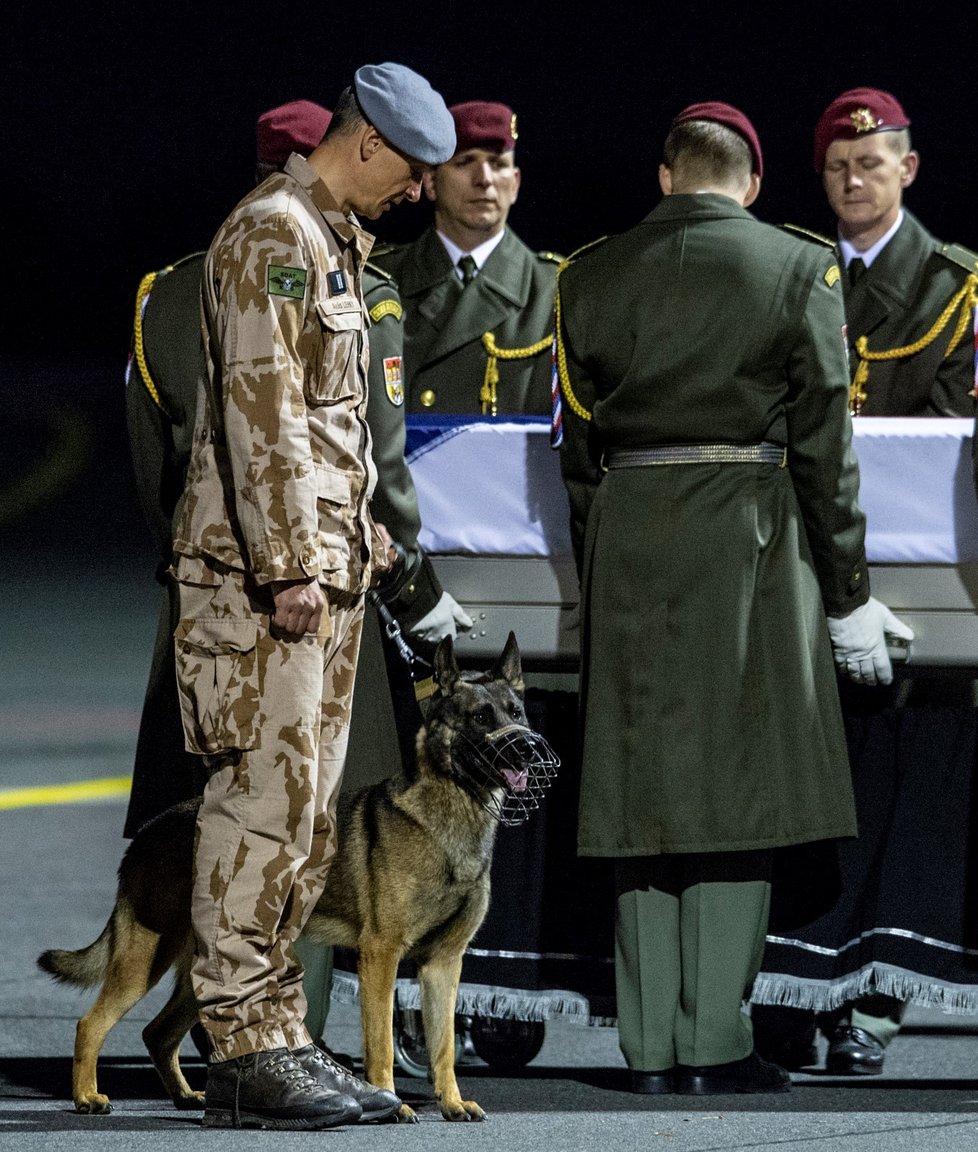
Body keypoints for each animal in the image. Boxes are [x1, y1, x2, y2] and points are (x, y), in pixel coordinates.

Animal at [38, 635, 557, 1119]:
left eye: (517, 712)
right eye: (481, 718)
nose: (530, 749)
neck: (451, 812)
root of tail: (146, 833)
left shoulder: (443, 964)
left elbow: (444, 1046)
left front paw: (451, 1102)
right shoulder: (381, 956)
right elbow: (381, 1046)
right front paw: (393, 1103)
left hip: (207, 971)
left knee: (158, 1033)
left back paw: (186, 1095)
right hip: (145, 958)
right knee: (91, 1025)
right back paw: (87, 1097)